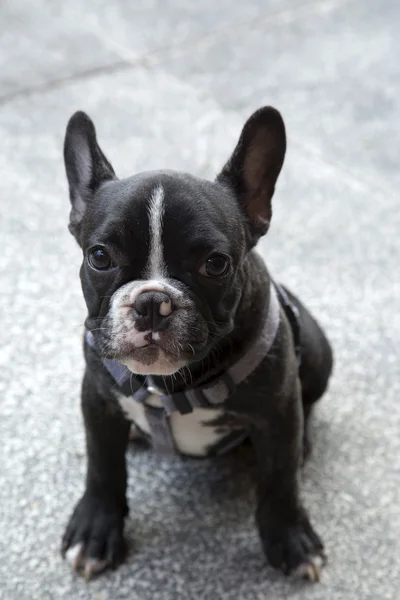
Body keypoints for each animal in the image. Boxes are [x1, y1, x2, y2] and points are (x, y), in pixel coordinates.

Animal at [61, 106, 332, 580]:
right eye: (99, 257)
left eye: (216, 264)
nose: (152, 301)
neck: (168, 385)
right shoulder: (97, 398)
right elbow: (102, 466)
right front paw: (95, 529)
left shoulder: (278, 410)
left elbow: (280, 481)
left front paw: (291, 540)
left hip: (316, 352)